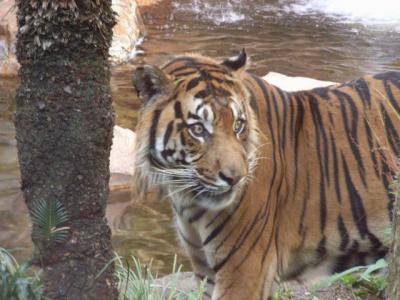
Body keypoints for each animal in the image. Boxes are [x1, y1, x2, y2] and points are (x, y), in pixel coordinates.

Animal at [132, 50, 400, 298]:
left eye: (237, 125)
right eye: (198, 129)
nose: (236, 178)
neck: (187, 198)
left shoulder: (244, 270)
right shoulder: (205, 271)